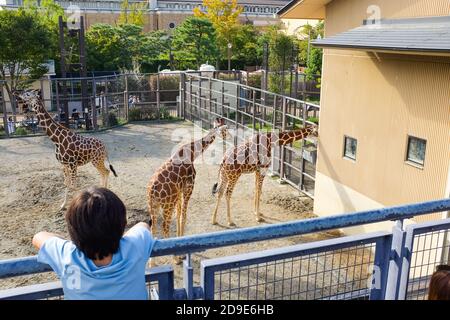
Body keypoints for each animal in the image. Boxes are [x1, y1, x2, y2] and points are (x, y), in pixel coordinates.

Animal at [146, 117, 227, 262]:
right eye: (224, 130)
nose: (225, 138)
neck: (193, 153)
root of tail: (151, 192)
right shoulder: (189, 187)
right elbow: (184, 216)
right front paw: (181, 253)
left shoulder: (179, 192)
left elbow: (178, 216)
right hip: (167, 204)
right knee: (165, 226)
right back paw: (175, 259)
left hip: (154, 206)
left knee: (153, 228)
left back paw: (152, 264)